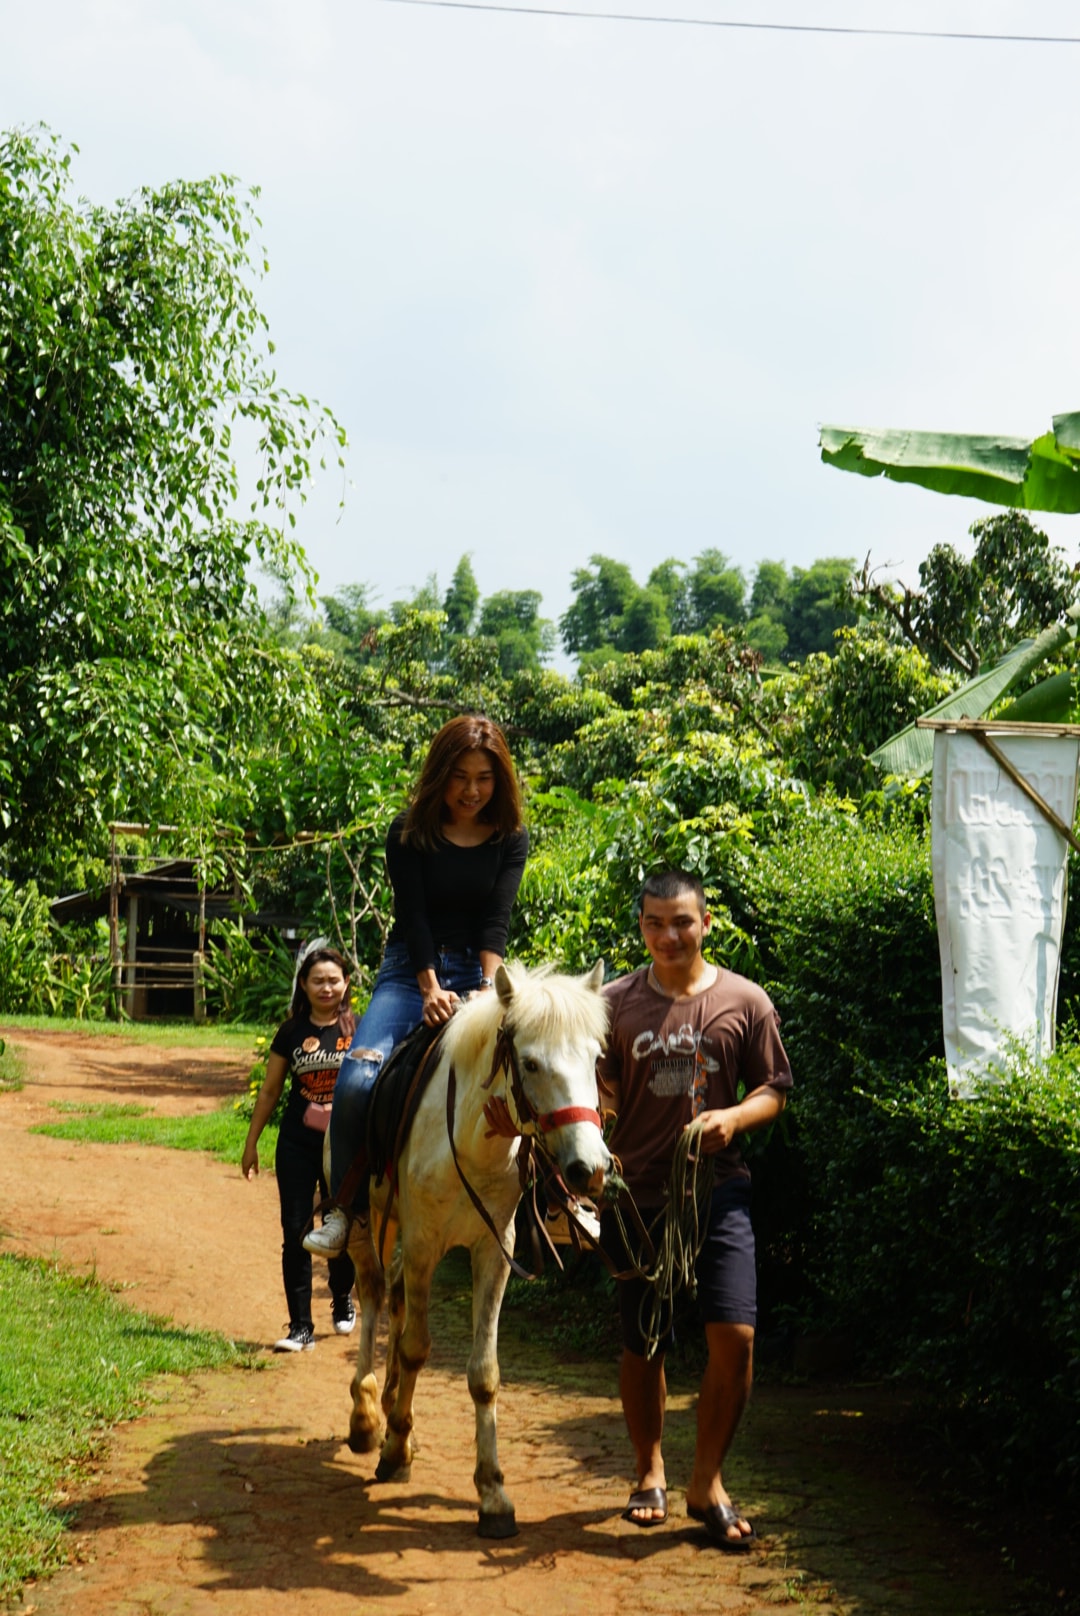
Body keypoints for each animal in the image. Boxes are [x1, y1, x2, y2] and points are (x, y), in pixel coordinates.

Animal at [347, 956, 614, 1538]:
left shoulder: (495, 1251)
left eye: (595, 1059)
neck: (469, 1143)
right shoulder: (423, 1243)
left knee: (395, 1301)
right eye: (531, 1064)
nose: (589, 1168)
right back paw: (367, 1418)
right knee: (374, 1296)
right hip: (371, 1221)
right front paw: (392, 1449)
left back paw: (397, 1413)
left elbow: (482, 1374)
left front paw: (492, 1493)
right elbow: (416, 1346)